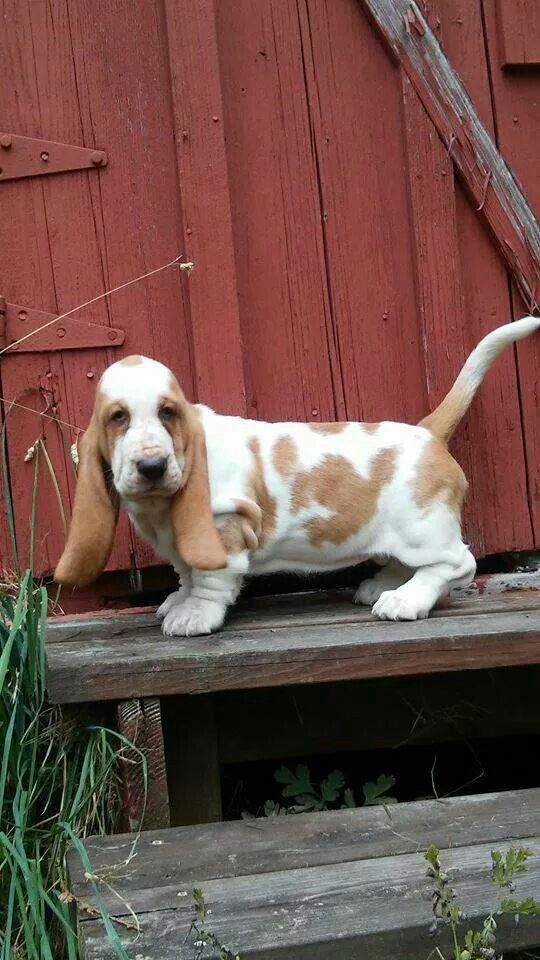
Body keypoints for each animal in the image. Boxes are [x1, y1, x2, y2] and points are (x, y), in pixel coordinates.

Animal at [56, 316, 540, 636]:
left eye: (167, 413)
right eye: (117, 418)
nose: (151, 466)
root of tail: (427, 431)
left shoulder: (222, 531)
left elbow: (210, 581)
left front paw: (193, 615)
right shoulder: (182, 545)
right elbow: (187, 572)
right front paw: (178, 598)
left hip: (422, 527)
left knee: (456, 564)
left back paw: (404, 599)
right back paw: (383, 586)